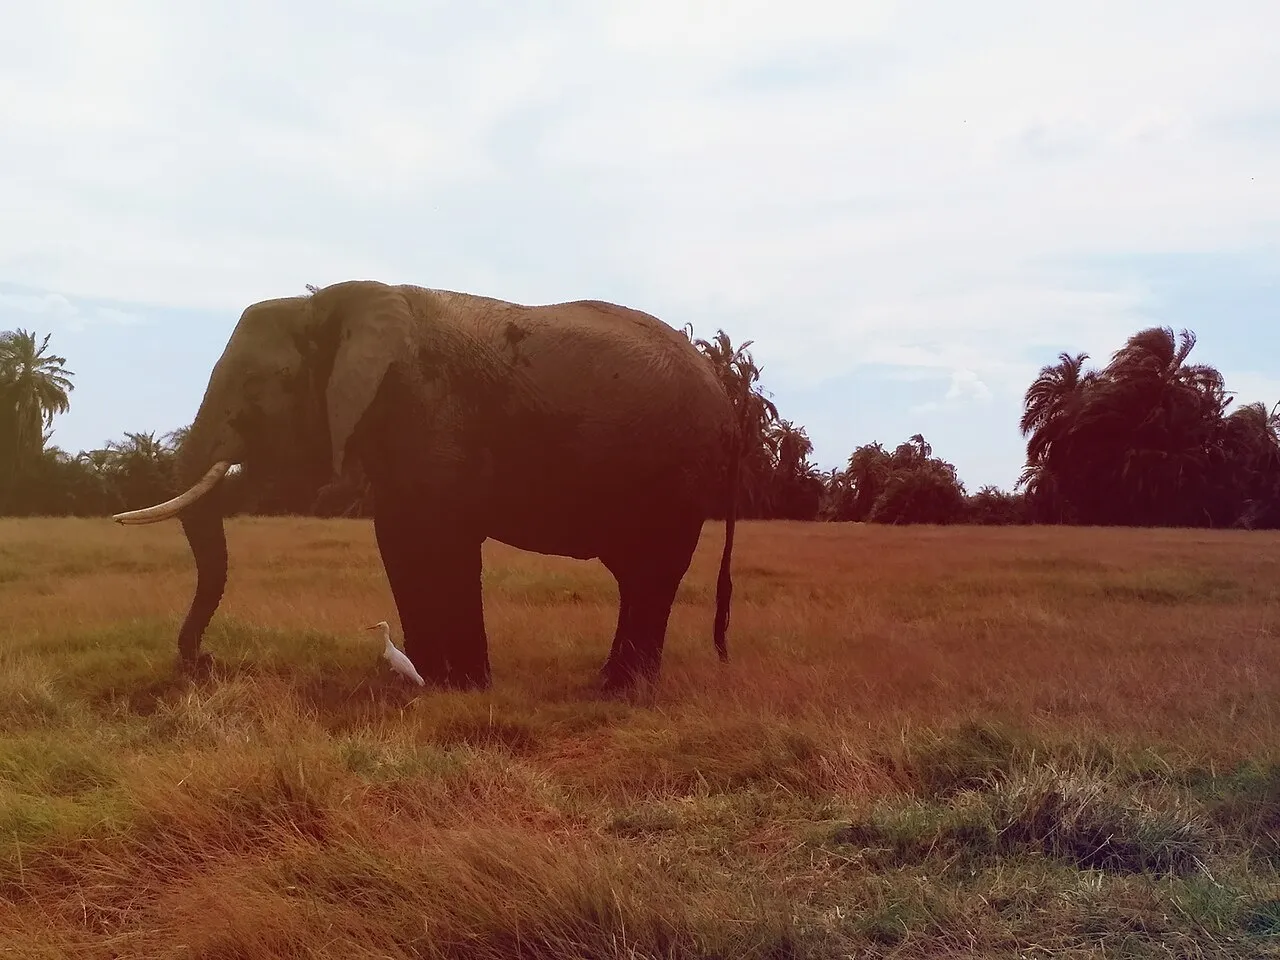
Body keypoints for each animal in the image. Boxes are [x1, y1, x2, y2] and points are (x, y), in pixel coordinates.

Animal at [113, 279, 742, 691]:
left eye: (268, 381)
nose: (207, 663)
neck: (331, 304)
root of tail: (725, 392)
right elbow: (397, 538)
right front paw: (426, 679)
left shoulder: (433, 409)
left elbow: (440, 540)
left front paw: (460, 686)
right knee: (640, 576)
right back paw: (619, 684)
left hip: (680, 470)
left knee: (651, 571)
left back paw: (617, 690)